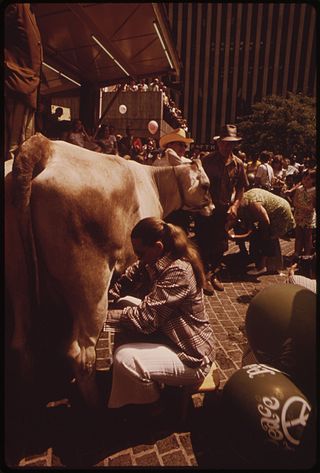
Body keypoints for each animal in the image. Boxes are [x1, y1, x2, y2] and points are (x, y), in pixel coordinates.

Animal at [5, 133, 214, 402]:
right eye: (206, 185)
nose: (212, 207)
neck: (154, 182)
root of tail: (45, 146)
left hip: (17, 273)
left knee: (21, 340)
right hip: (91, 281)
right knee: (81, 353)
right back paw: (95, 402)